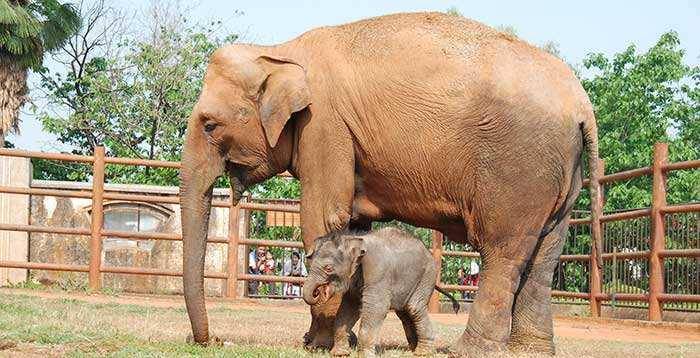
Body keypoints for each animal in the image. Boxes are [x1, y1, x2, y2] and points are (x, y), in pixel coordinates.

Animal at [302, 228, 460, 356]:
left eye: (328, 268)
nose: (317, 292)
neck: (353, 238)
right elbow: (348, 308)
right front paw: (339, 354)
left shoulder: (378, 271)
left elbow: (376, 307)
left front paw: (365, 355)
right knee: (404, 312)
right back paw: (413, 348)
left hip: (427, 276)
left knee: (414, 307)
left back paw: (423, 352)